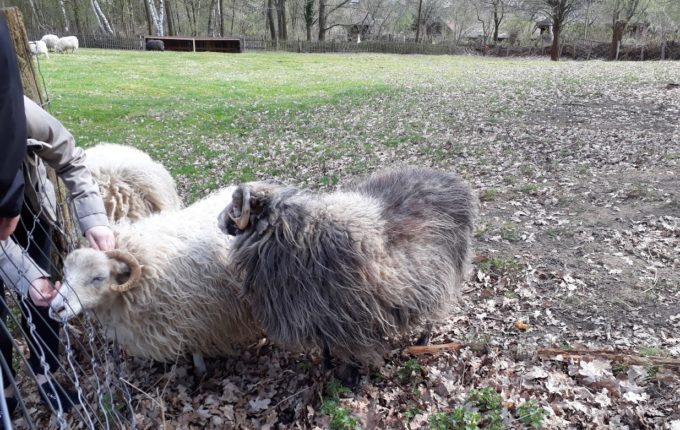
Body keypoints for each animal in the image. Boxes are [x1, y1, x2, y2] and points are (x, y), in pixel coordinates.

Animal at [49, 188, 262, 372]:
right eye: (66, 273)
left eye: (98, 277)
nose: (55, 308)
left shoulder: (192, 316)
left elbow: (195, 347)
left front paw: (201, 372)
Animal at [220, 166, 476, 382]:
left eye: (235, 205)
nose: (218, 222)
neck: (298, 232)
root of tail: (455, 181)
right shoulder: (318, 313)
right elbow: (324, 344)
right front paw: (326, 366)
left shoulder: (346, 316)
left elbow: (349, 349)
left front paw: (348, 376)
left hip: (445, 269)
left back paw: (423, 340)